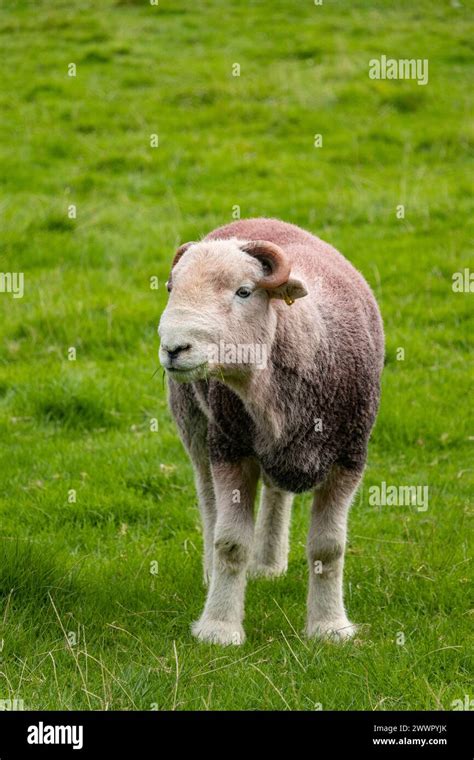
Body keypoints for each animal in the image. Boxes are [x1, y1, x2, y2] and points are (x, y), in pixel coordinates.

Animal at [157, 217, 384, 644]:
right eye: (171, 288)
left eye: (244, 292)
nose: (174, 349)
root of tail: (253, 221)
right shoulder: (230, 449)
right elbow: (230, 543)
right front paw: (219, 627)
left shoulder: (349, 457)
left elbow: (328, 549)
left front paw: (329, 627)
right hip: (195, 421)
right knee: (207, 498)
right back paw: (213, 572)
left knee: (277, 493)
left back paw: (268, 564)